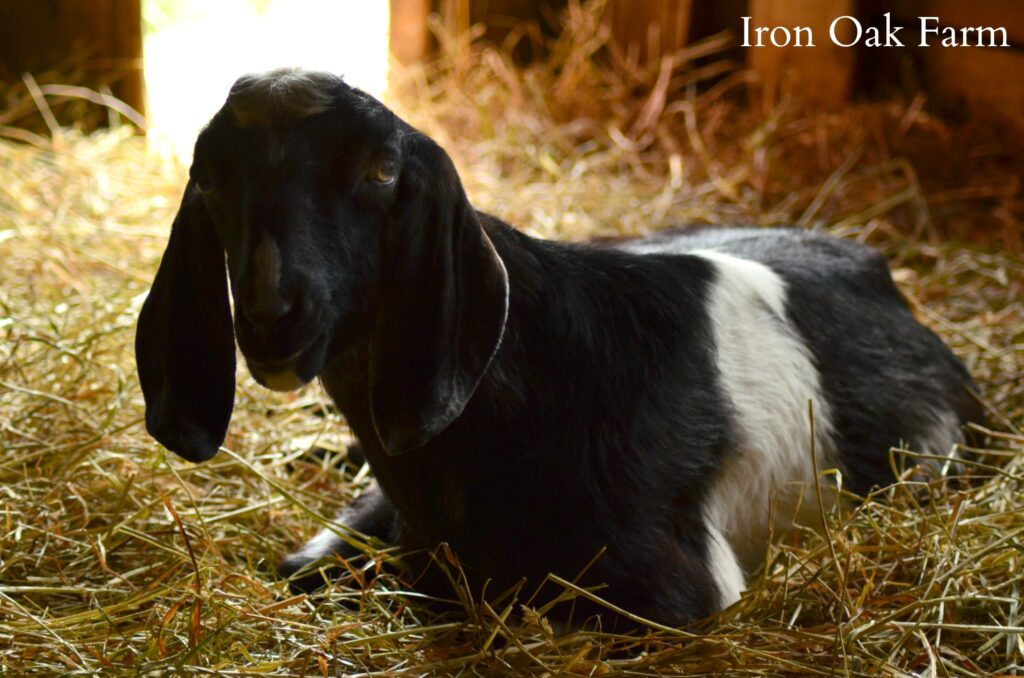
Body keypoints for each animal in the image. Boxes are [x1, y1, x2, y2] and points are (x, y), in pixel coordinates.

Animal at [134, 70, 974, 630]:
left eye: (381, 169)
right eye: (211, 179)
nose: (273, 317)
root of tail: (873, 263)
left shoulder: (675, 590)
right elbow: (302, 563)